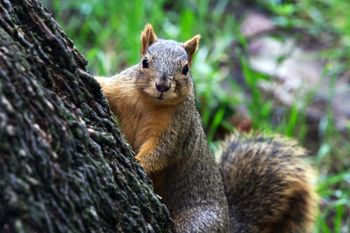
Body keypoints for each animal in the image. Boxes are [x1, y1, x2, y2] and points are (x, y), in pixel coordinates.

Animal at [94, 24, 318, 232]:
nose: (162, 86)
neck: (149, 102)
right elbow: (105, 87)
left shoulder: (177, 128)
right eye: (145, 62)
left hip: (199, 222)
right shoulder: (122, 89)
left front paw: (138, 162)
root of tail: (228, 225)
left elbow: (161, 150)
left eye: (185, 69)